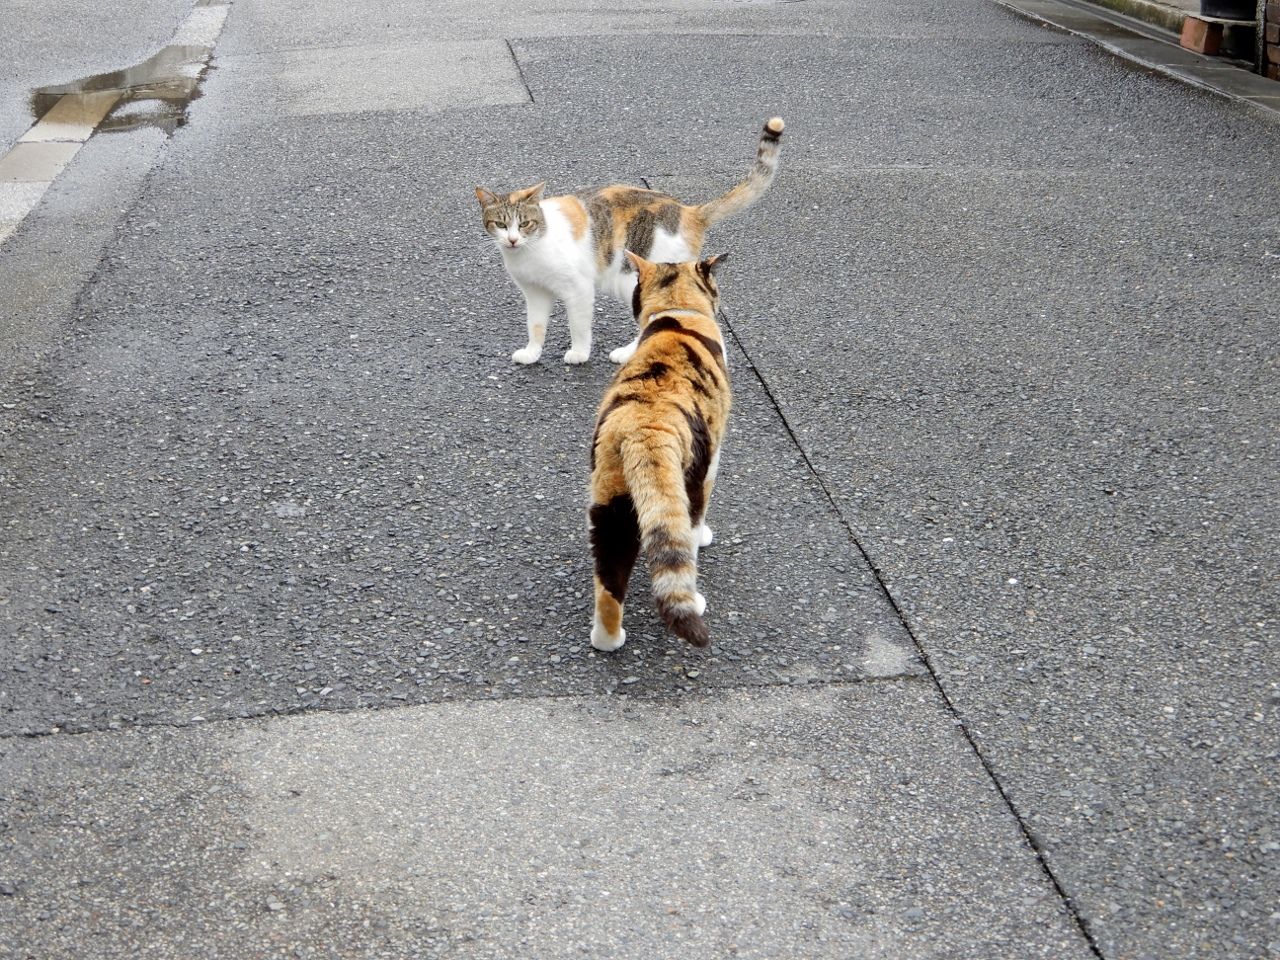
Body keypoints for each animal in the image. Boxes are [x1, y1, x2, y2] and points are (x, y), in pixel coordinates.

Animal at [478, 113, 783, 368]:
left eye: (525, 223)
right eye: (501, 224)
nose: (512, 240)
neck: (532, 248)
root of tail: (689, 211)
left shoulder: (578, 288)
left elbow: (578, 326)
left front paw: (579, 353)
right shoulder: (535, 293)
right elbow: (536, 326)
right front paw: (532, 353)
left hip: (633, 280)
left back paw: (628, 353)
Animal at [586, 252, 732, 655]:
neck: (678, 313)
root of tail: (645, 426)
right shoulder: (712, 458)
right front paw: (706, 536)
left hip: (610, 501)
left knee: (609, 575)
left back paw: (608, 640)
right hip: (687, 479)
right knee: (683, 540)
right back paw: (695, 599)